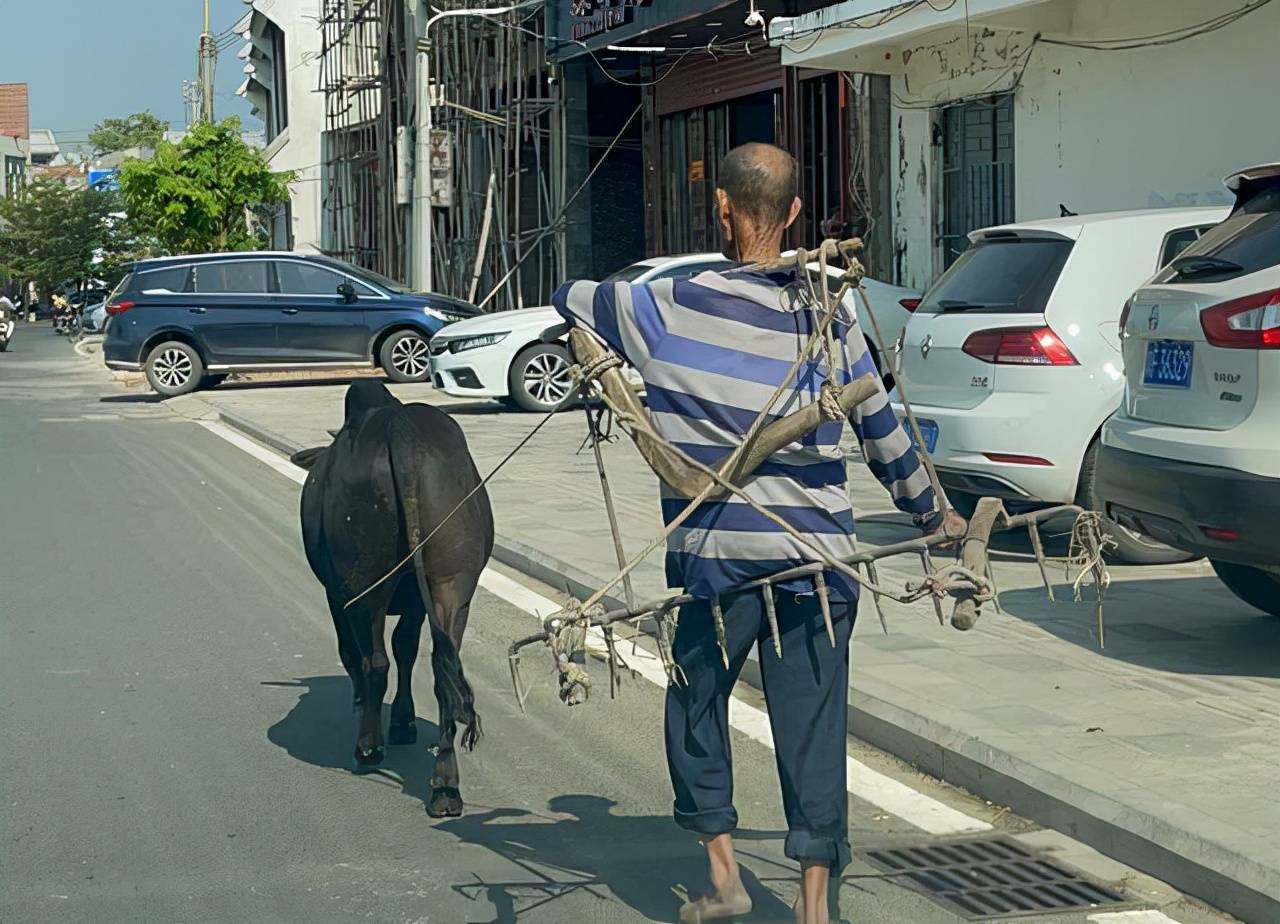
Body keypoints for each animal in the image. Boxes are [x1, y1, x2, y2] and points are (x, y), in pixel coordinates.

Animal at [291, 378, 494, 813]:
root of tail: (399, 429)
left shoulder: (336, 595)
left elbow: (356, 652)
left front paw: (370, 709)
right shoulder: (419, 603)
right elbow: (408, 647)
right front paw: (403, 719)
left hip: (364, 585)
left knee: (375, 661)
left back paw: (368, 747)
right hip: (453, 582)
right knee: (443, 669)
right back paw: (445, 785)